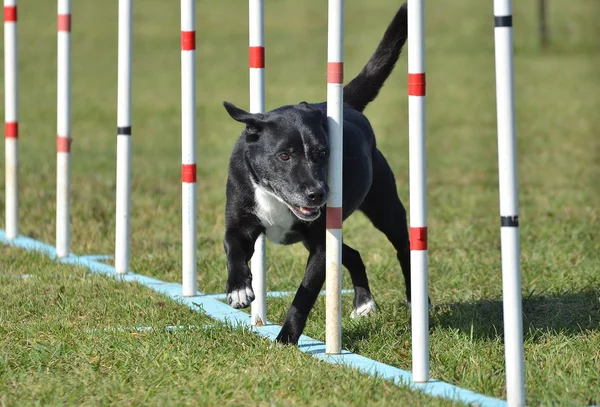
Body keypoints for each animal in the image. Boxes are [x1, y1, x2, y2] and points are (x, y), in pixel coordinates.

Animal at [223, 3, 410, 348]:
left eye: (323, 152)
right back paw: (364, 304)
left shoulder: (321, 244)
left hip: (385, 207)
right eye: (284, 155)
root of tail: (343, 103)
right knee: (354, 254)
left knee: (405, 249)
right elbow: (233, 248)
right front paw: (239, 289)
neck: (276, 198)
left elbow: (305, 293)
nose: (317, 194)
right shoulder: (241, 219)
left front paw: (286, 339)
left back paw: (416, 303)